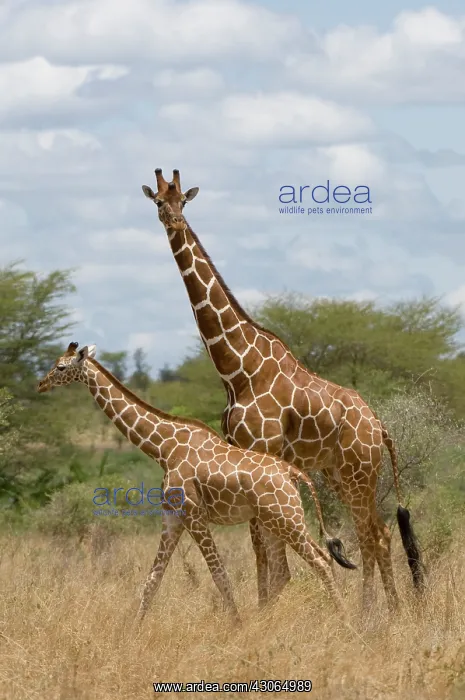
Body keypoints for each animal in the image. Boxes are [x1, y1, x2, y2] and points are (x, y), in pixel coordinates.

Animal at [37, 341, 354, 623]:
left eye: (61, 366)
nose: (40, 384)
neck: (163, 448)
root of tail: (294, 473)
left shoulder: (194, 513)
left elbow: (219, 574)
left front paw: (236, 625)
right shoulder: (172, 515)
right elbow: (153, 578)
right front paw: (132, 630)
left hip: (286, 518)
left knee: (321, 561)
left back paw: (346, 624)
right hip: (274, 520)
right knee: (285, 570)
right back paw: (267, 624)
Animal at [141, 167, 425, 614]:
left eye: (183, 200)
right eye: (158, 201)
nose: (174, 221)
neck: (236, 368)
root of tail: (379, 426)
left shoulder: (261, 449)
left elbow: (265, 544)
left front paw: (263, 611)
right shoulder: (242, 453)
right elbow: (260, 545)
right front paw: (262, 608)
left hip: (360, 472)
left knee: (372, 534)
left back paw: (376, 614)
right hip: (337, 472)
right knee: (375, 533)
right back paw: (384, 612)